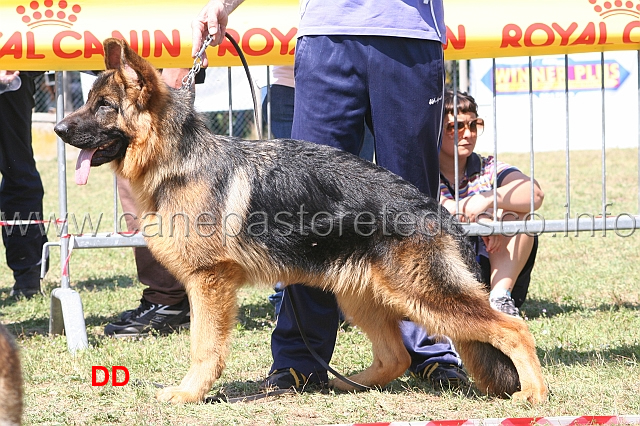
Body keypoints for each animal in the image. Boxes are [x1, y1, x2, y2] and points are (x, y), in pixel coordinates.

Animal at [53, 38, 544, 404]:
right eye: (89, 102)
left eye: (103, 106)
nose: (57, 130)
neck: (178, 159)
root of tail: (437, 210)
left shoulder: (209, 282)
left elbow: (203, 347)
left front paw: (190, 393)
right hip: (363, 297)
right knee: (395, 357)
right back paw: (346, 383)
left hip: (423, 296)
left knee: (513, 328)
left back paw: (534, 393)